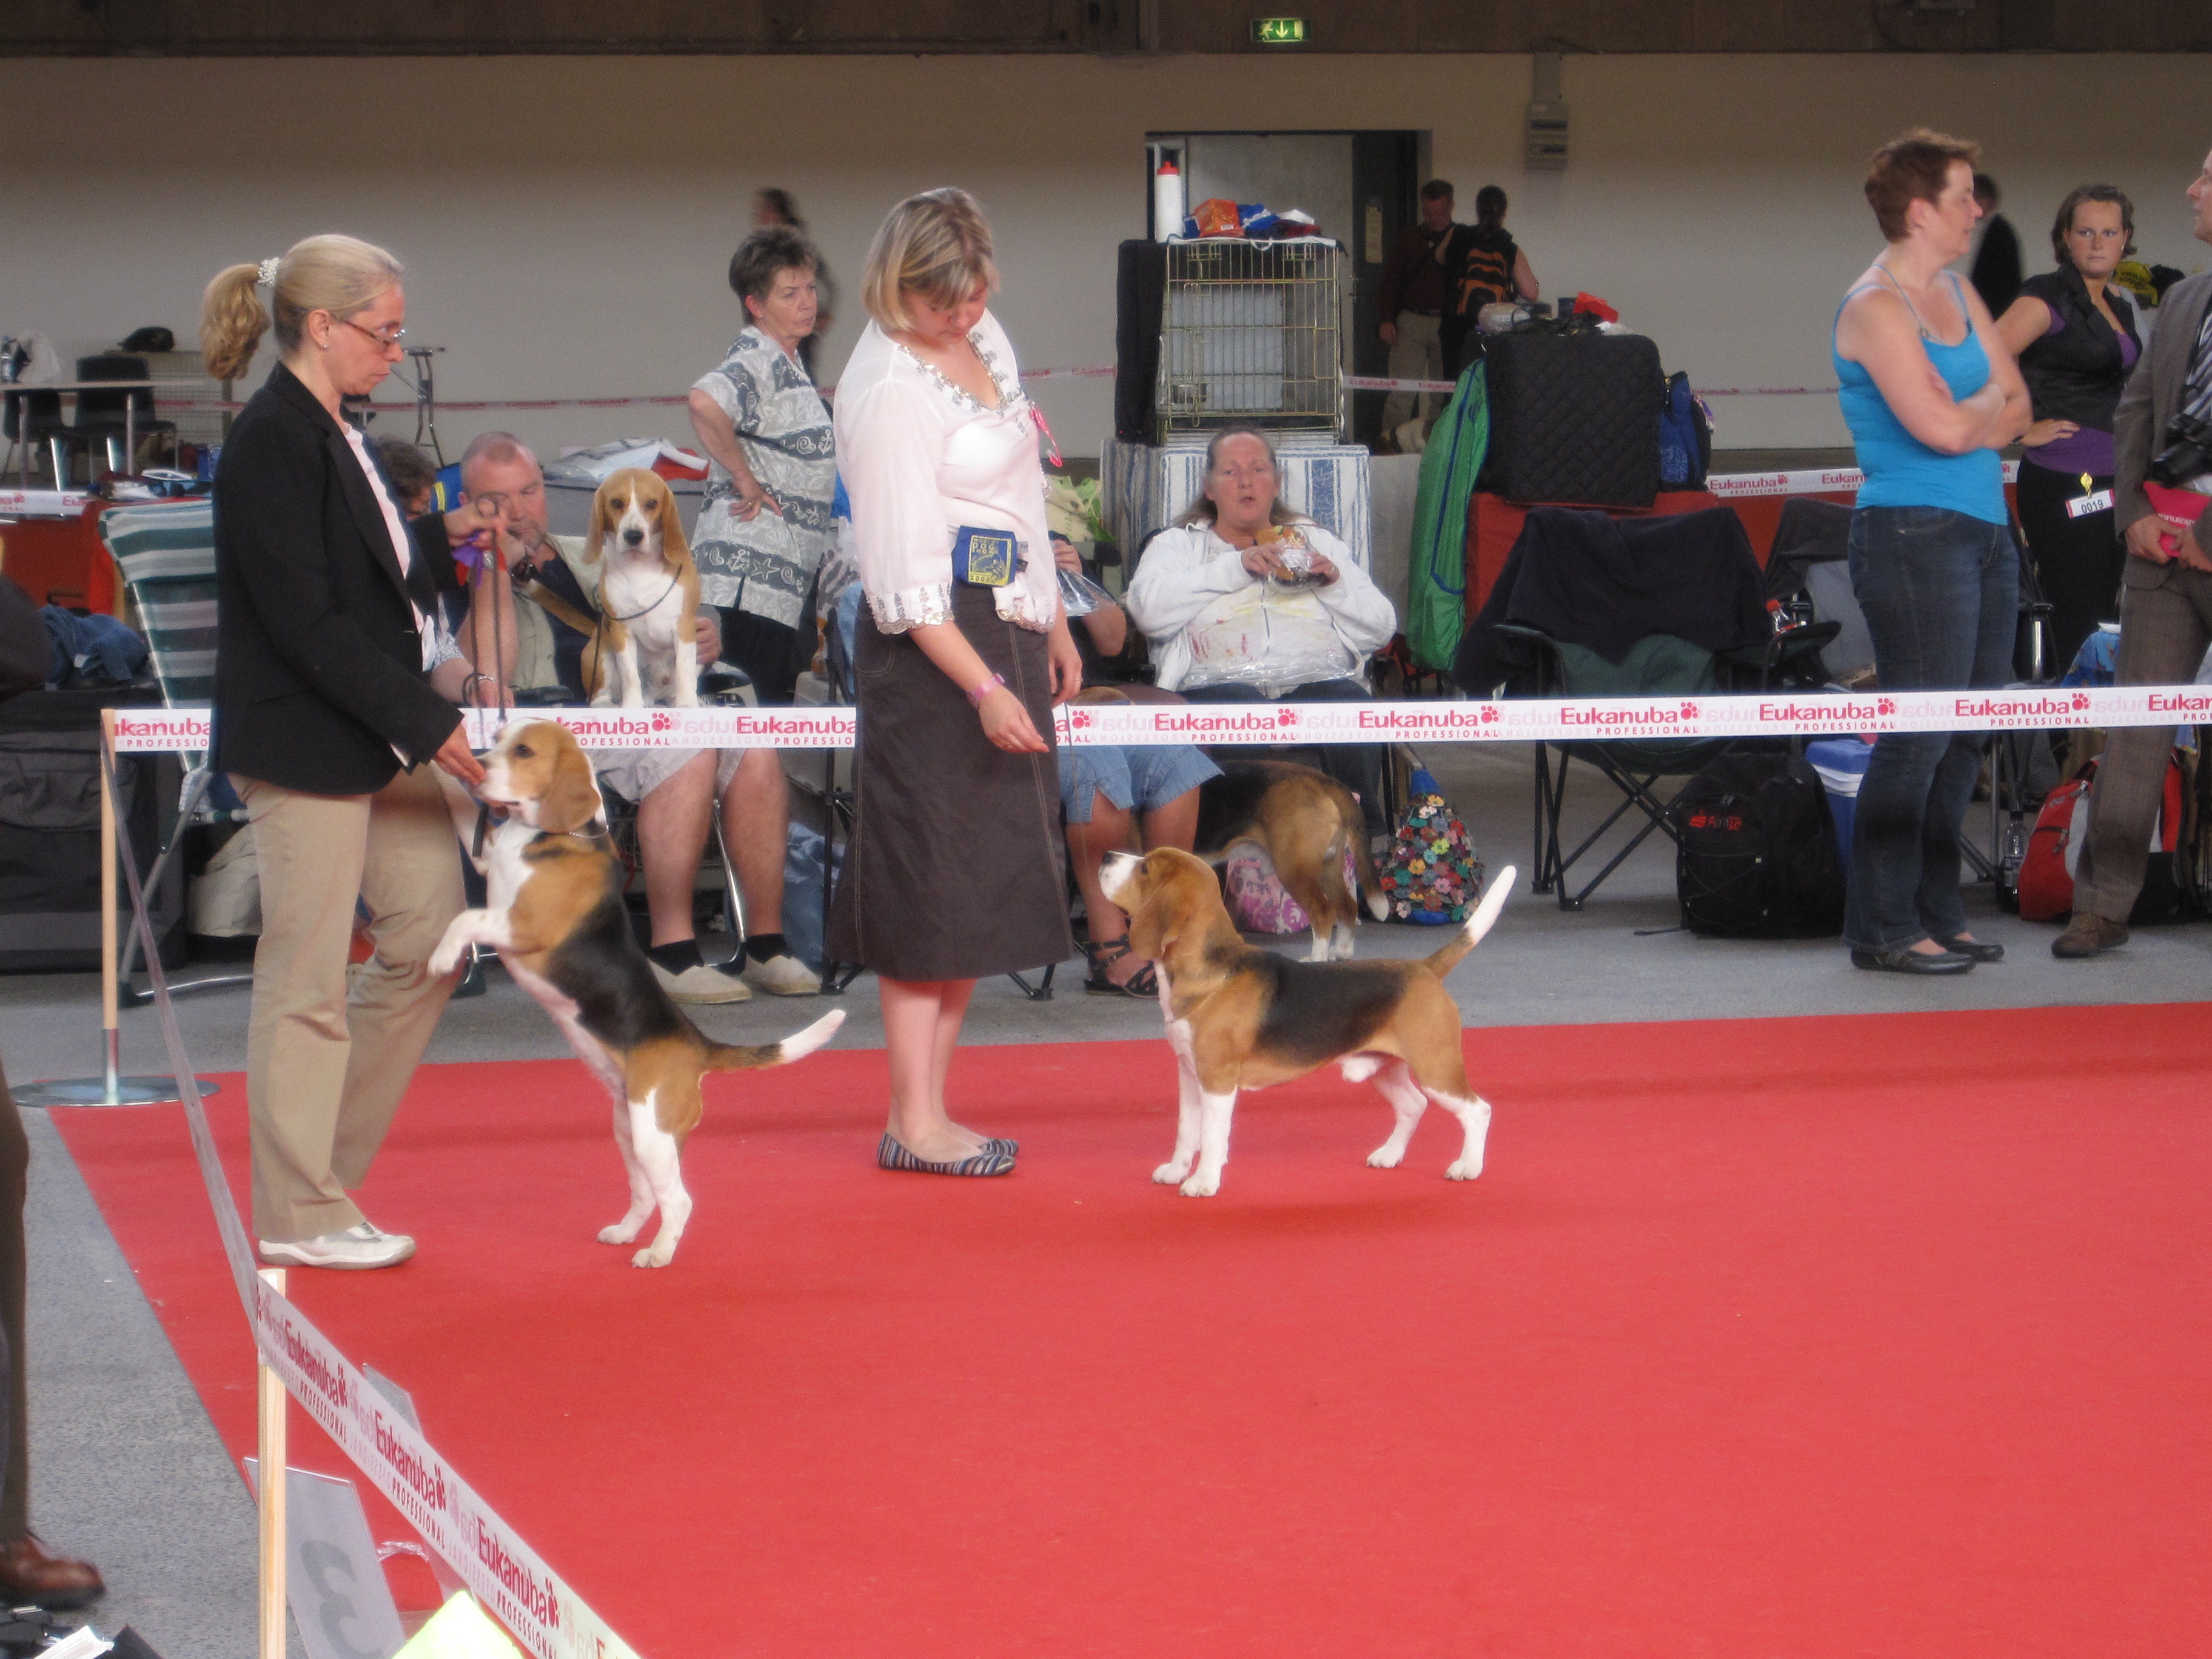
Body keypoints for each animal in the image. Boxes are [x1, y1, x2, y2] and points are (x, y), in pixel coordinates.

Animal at [427, 721, 840, 1265]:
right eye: (495, 737)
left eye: (524, 752)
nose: (477, 765)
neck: (554, 833)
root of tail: (697, 1044)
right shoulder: (484, 857)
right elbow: (459, 814)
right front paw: (438, 766)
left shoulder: (525, 924)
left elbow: (467, 917)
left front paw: (441, 956)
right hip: (629, 1129)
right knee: (646, 1194)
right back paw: (626, 1232)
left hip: (653, 1136)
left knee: (679, 1201)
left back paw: (658, 1253)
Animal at [588, 464, 699, 712]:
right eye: (616, 502)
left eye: (651, 503)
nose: (633, 535)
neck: (639, 567)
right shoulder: (621, 630)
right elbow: (630, 675)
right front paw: (632, 706)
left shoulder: (685, 626)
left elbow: (685, 670)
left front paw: (687, 704)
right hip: (601, 650)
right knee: (598, 697)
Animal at [1093, 849, 1513, 1203]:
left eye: (1145, 869)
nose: (1107, 856)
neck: (1213, 971)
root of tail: (1424, 968)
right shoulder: (1189, 1072)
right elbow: (1186, 1130)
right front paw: (1177, 1171)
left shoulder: (1217, 1079)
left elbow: (1212, 1137)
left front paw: (1203, 1181)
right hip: (1382, 1067)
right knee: (1414, 1105)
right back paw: (1390, 1155)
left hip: (1436, 1067)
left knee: (1478, 1111)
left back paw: (1468, 1167)